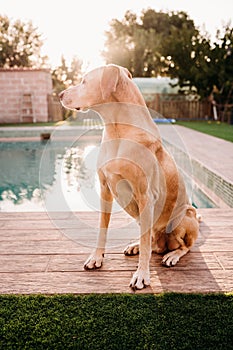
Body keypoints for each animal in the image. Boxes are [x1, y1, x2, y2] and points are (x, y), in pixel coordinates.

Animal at [59, 64, 199, 288]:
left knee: (181, 246)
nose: (60, 94)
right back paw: (137, 246)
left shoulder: (145, 196)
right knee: (151, 242)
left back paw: (172, 255)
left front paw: (142, 274)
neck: (118, 129)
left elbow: (146, 245)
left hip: (183, 216)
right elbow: (102, 229)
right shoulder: (105, 190)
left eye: (84, 82)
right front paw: (97, 257)